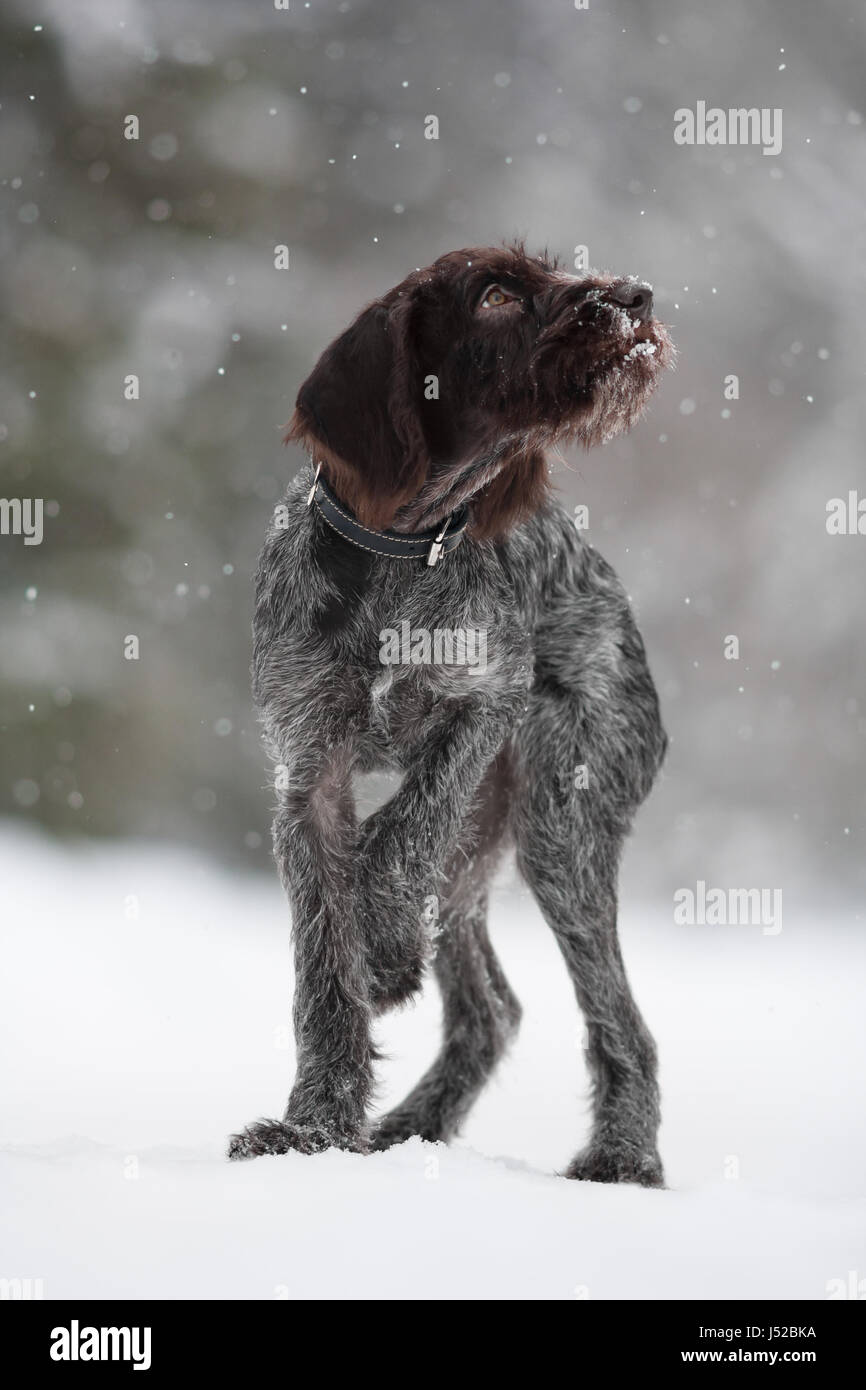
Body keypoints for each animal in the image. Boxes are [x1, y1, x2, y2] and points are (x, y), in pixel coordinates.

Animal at [226, 241, 675, 1184]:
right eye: (497, 294)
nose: (636, 296)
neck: (400, 544)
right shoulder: (307, 777)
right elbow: (324, 971)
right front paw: (314, 1130)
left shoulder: (488, 707)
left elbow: (404, 829)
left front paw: (385, 944)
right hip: (488, 851)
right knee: (491, 1008)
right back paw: (409, 1126)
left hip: (558, 827)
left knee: (620, 1021)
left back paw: (622, 1158)